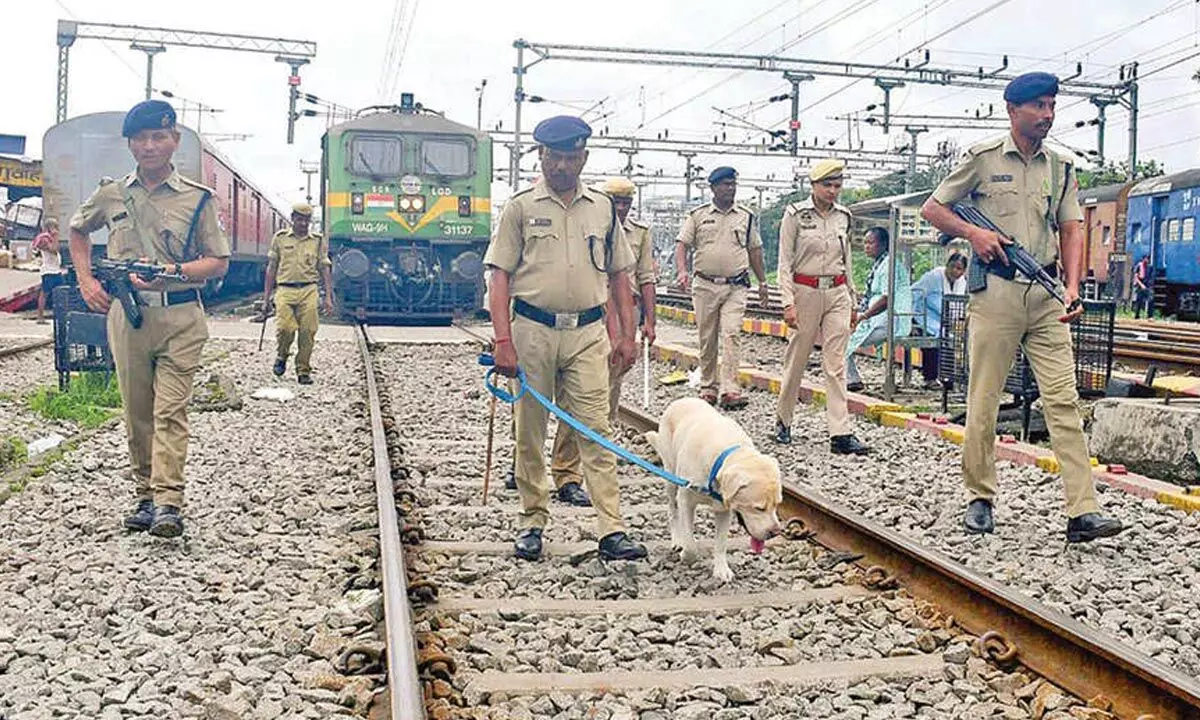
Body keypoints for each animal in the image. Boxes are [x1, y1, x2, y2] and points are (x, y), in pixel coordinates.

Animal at [648, 396, 787, 583]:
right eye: (758, 508)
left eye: (777, 504)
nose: (775, 532)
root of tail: (682, 399)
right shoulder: (685, 500)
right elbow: (690, 544)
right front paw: (687, 554)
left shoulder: (724, 510)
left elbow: (721, 542)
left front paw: (722, 569)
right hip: (670, 476)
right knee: (673, 511)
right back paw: (677, 539)